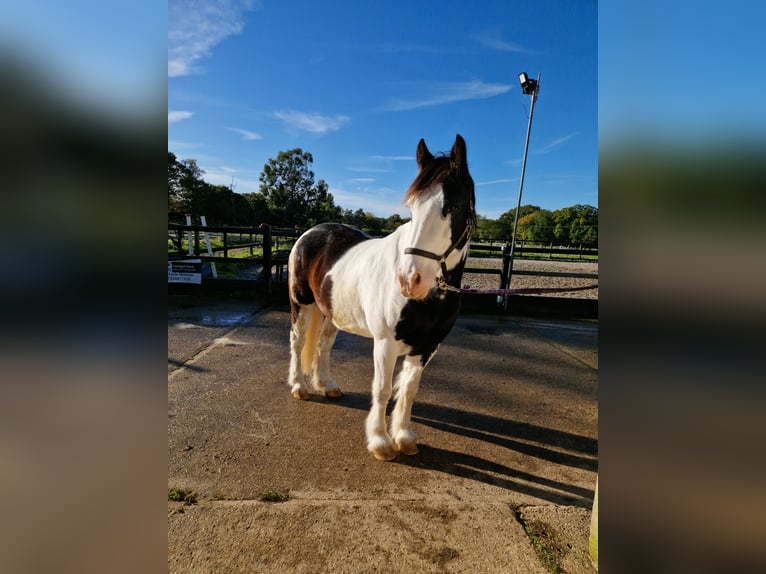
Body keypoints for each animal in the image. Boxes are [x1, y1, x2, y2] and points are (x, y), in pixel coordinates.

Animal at [288, 135, 476, 464]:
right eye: (412, 208)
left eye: (452, 206)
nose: (410, 280)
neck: (430, 299)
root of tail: (309, 232)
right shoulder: (385, 344)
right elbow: (382, 389)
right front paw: (380, 442)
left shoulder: (426, 348)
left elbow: (409, 391)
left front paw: (404, 437)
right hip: (302, 304)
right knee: (298, 343)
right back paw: (300, 386)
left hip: (331, 313)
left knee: (323, 345)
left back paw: (327, 385)